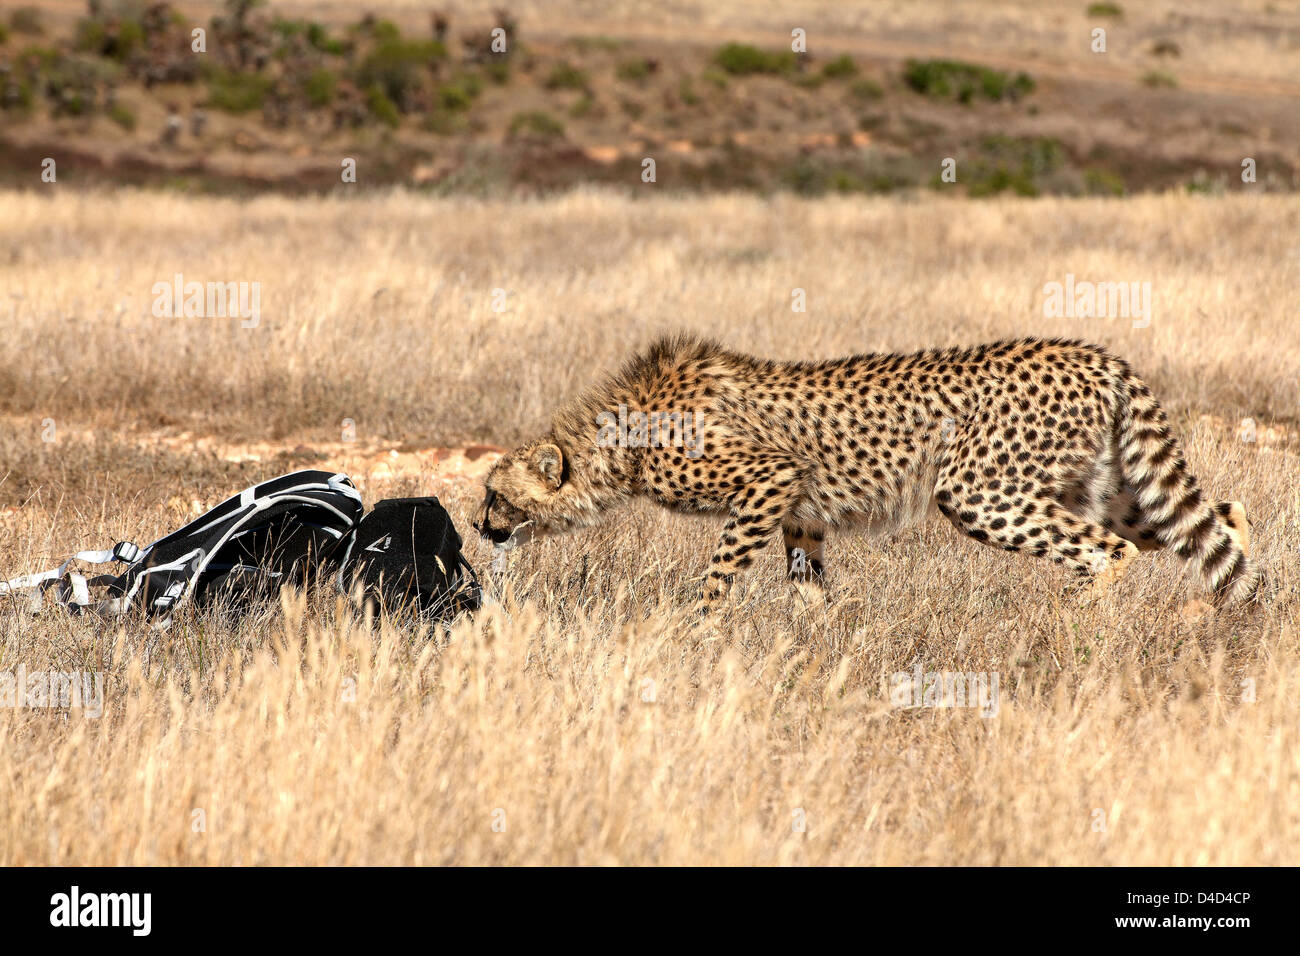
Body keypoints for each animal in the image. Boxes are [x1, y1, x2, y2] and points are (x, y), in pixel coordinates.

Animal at [475, 335, 1258, 616]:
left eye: (492, 494)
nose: (480, 526)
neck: (619, 445)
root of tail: (1094, 352)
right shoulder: (797, 512)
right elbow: (807, 585)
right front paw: (813, 638)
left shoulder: (768, 477)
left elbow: (719, 574)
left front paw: (693, 632)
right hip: (1089, 484)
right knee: (1218, 519)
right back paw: (1223, 611)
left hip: (978, 491)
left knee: (1110, 549)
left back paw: (1072, 624)